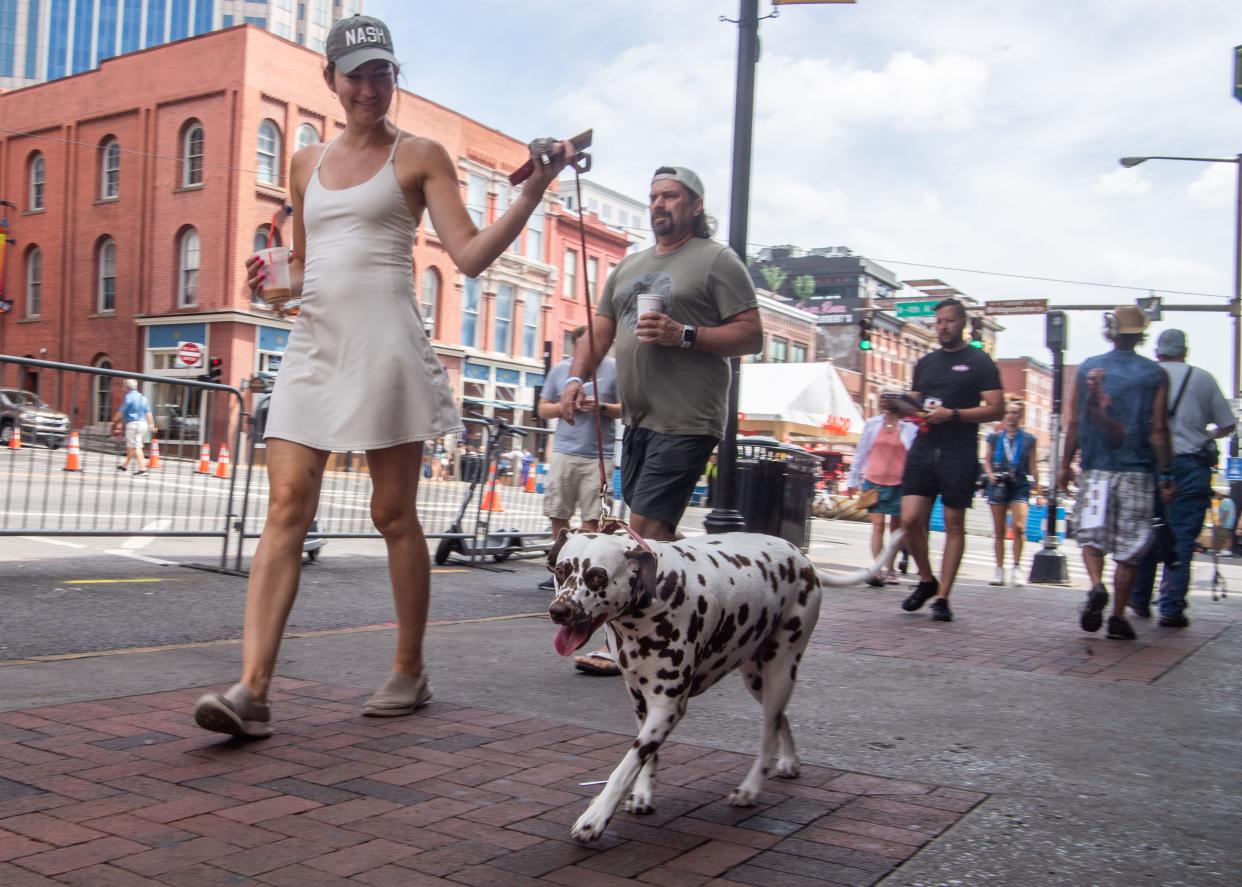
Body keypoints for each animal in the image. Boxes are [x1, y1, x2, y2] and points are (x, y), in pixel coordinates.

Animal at [546, 529, 904, 839]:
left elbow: (627, 765)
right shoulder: (640, 699)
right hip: (757, 679)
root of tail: (801, 557)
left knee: (768, 735)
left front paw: (595, 817)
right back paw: (789, 761)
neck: (655, 595)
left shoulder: (668, 706)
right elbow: (646, 757)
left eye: (597, 576)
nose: (558, 610)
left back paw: (751, 788)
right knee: (781, 719)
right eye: (561, 571)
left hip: (779, 672)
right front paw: (644, 793)